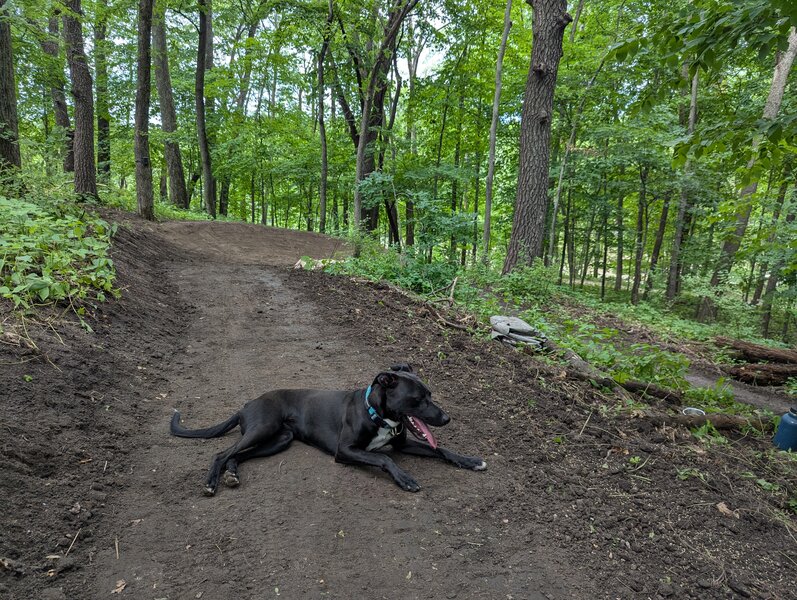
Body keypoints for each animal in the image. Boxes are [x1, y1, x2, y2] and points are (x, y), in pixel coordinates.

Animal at [169, 364, 486, 494]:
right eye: (418, 399)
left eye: (431, 394)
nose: (446, 419)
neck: (376, 414)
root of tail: (246, 404)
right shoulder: (344, 450)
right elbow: (383, 457)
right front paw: (405, 479)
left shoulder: (402, 443)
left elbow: (442, 450)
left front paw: (470, 460)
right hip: (263, 428)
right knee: (222, 453)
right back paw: (212, 482)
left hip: (280, 439)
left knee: (237, 455)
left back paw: (233, 474)